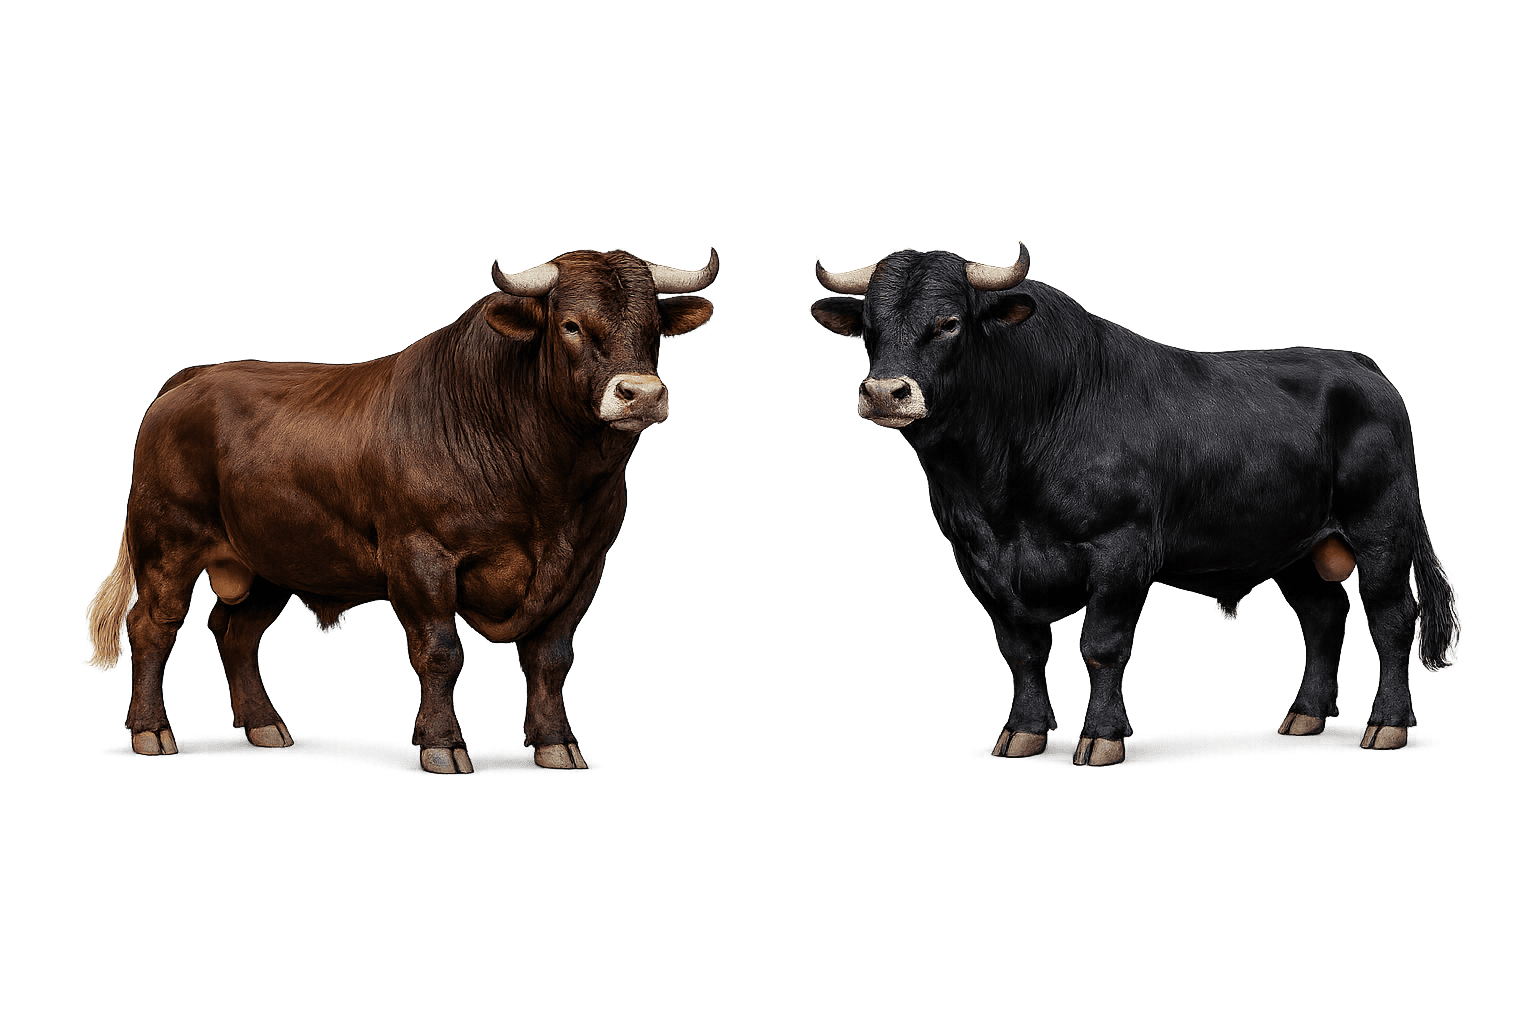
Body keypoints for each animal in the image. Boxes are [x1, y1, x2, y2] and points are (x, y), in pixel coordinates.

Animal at [84, 247, 718, 774]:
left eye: (655, 327)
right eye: (570, 325)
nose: (641, 394)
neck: (549, 488)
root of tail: (197, 377)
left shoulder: (585, 565)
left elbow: (551, 659)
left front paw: (557, 744)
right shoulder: (421, 557)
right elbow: (440, 653)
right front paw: (442, 744)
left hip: (271, 560)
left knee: (237, 632)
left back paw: (265, 725)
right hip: (167, 544)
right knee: (154, 627)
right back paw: (152, 732)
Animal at [808, 242, 1460, 766]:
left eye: (948, 322)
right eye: (870, 327)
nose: (884, 392)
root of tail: (1353, 362)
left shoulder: (1120, 550)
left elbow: (1101, 647)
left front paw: (1101, 737)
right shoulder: (978, 561)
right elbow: (1021, 651)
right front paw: (1021, 733)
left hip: (1381, 532)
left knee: (1390, 619)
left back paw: (1386, 724)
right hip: (1295, 548)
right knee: (1323, 616)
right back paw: (1304, 715)